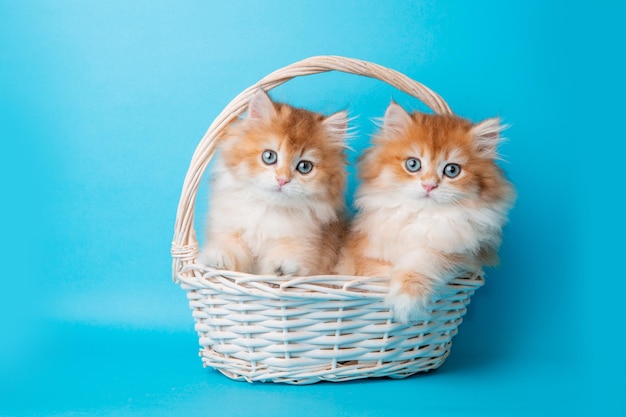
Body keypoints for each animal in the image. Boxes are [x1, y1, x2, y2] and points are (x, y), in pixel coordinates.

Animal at [197, 89, 348, 274]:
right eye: (269, 156)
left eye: (304, 166)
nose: (282, 180)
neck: (267, 210)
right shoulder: (230, 230)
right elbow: (230, 248)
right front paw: (218, 258)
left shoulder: (304, 242)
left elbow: (288, 257)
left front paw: (282, 267)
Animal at [334, 101, 516, 322]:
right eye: (413, 164)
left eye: (452, 170)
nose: (429, 185)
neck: (421, 216)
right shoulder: (364, 252)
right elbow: (373, 272)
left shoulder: (461, 254)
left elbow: (422, 262)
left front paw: (405, 301)